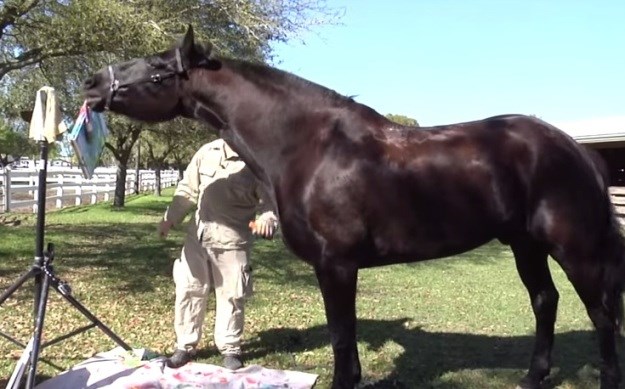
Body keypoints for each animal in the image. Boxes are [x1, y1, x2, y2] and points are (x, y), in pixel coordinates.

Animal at [83, 25, 624, 386]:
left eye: (158, 68)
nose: (91, 84)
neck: (309, 147)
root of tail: (577, 149)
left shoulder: (337, 265)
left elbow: (342, 336)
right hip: (524, 244)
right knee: (545, 302)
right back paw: (534, 377)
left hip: (572, 247)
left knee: (601, 313)